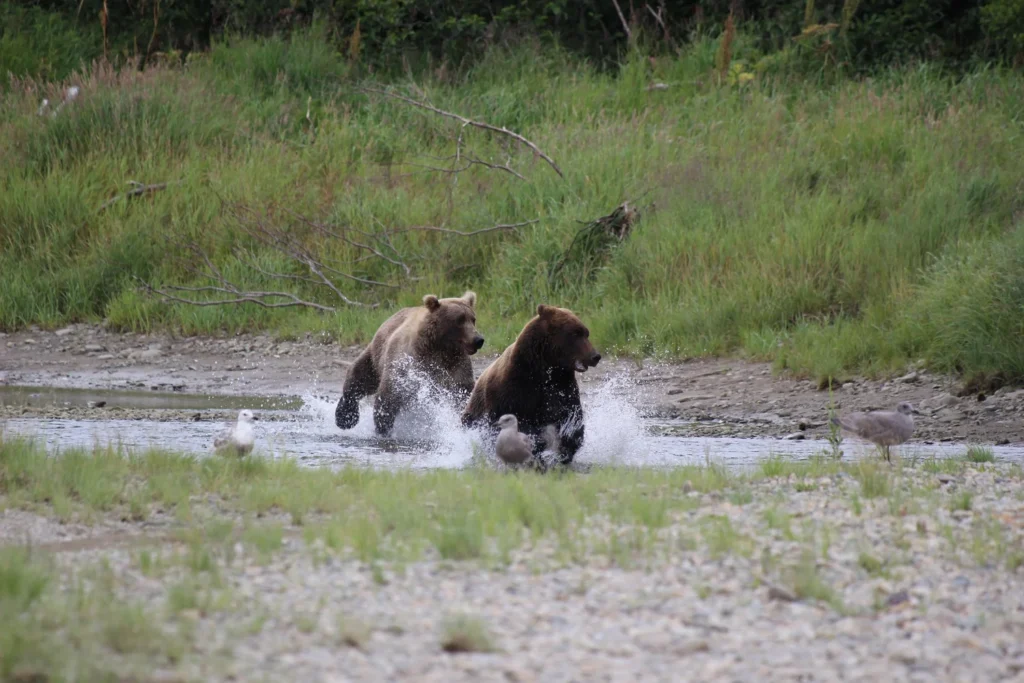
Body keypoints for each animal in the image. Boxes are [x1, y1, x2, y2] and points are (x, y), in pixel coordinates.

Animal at [335, 291, 484, 436]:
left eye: (473, 319)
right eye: (459, 320)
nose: (478, 339)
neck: (439, 349)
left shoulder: (457, 367)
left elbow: (464, 393)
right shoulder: (407, 364)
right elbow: (389, 395)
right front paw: (383, 429)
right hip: (376, 355)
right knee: (360, 378)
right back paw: (344, 418)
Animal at [461, 304, 601, 465]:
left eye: (586, 333)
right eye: (575, 334)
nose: (595, 356)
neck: (544, 367)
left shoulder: (560, 386)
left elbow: (570, 417)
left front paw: (564, 448)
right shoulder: (516, 388)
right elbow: (518, 421)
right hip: (474, 413)